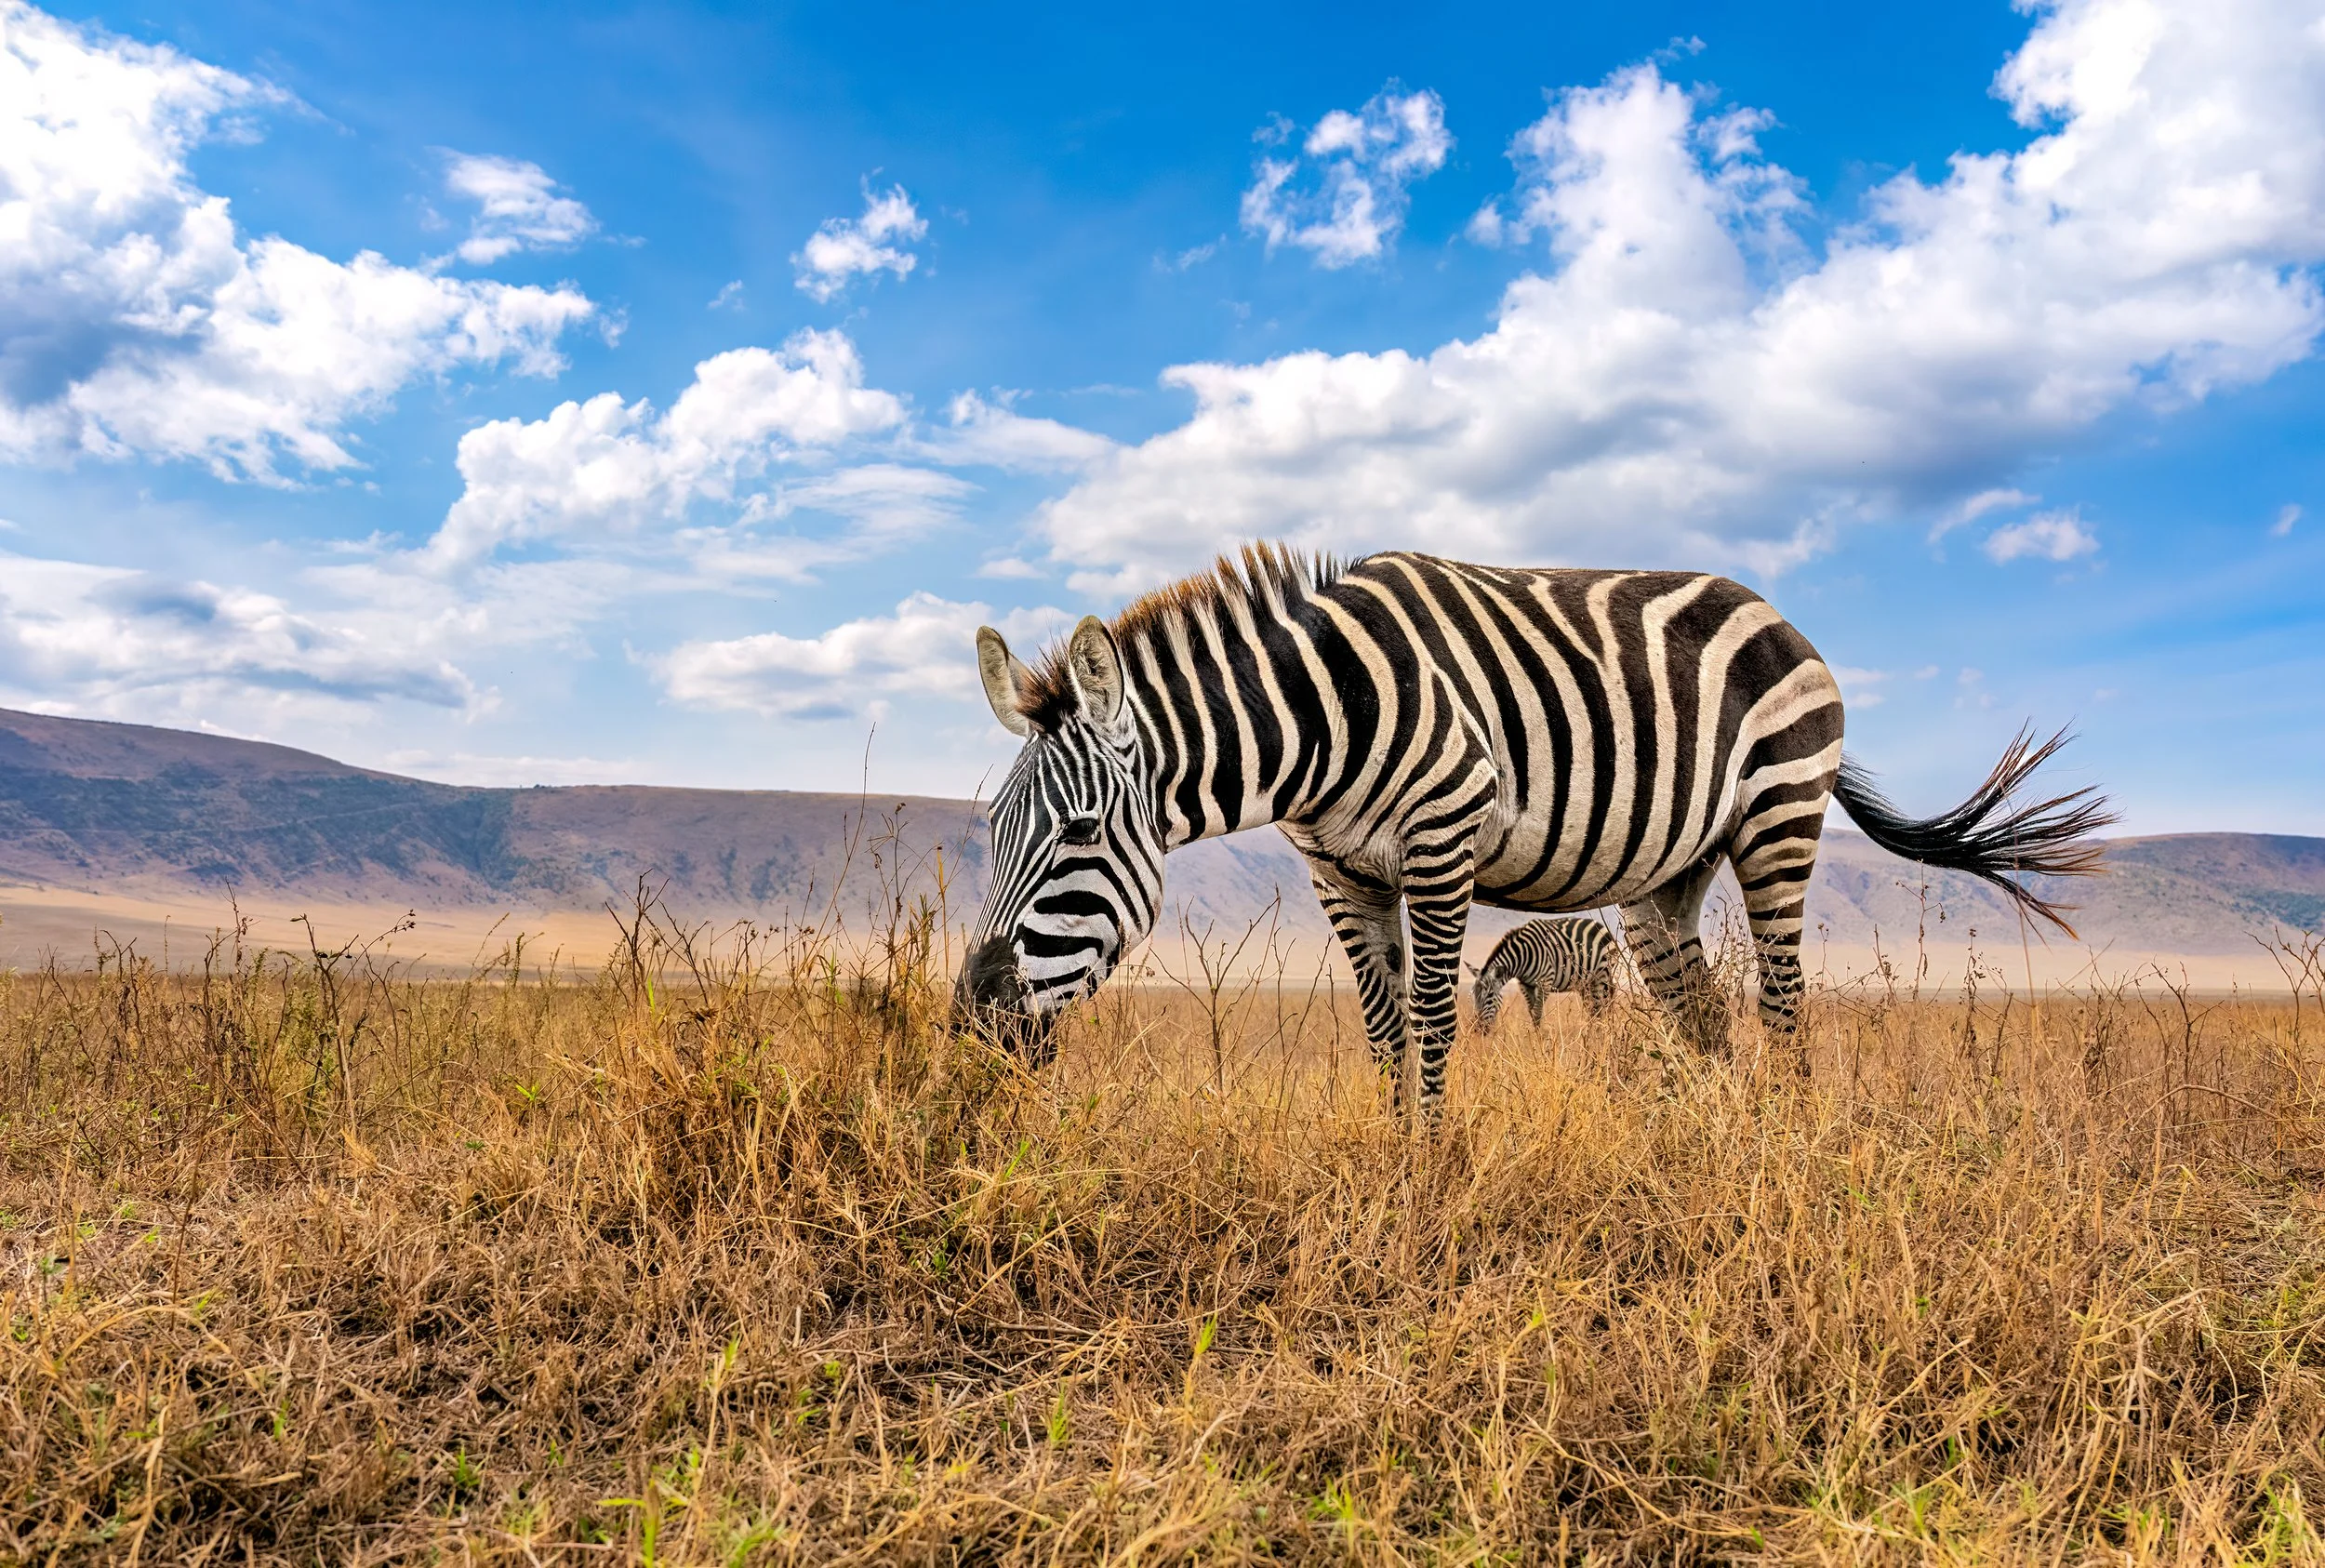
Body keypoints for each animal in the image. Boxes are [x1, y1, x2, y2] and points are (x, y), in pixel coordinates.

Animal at [1471, 917, 1622, 1033]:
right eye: (1474, 996)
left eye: (1490, 996)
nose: (1478, 1029)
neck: (1523, 955)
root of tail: (1600, 925)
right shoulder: (1525, 985)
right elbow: (1532, 1012)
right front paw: (1534, 1040)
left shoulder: (1545, 982)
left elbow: (1537, 1012)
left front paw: (1540, 1043)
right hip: (1585, 983)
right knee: (1592, 1009)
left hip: (1601, 976)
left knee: (1601, 1007)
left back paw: (1599, 1037)